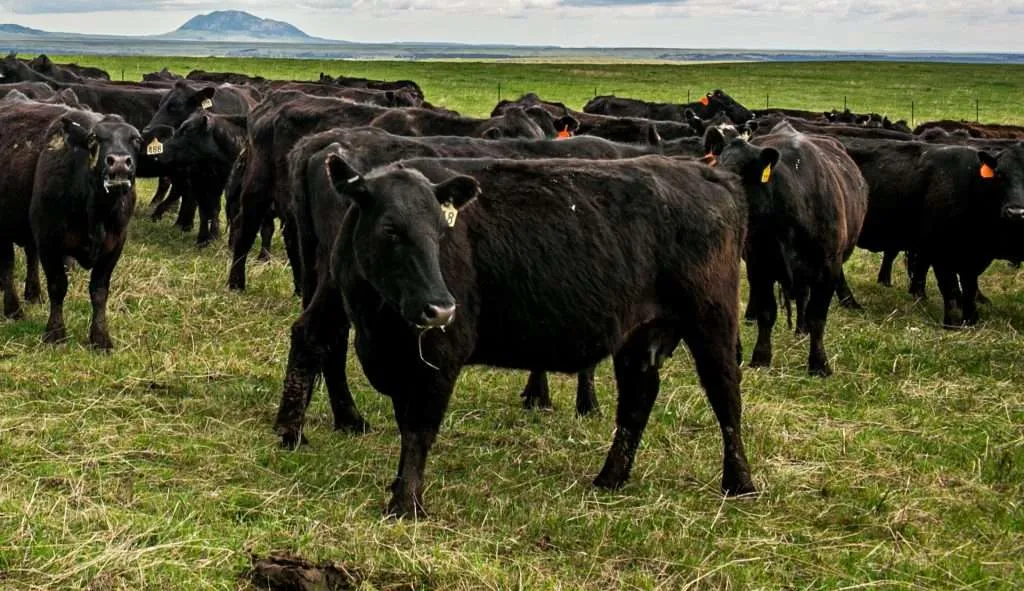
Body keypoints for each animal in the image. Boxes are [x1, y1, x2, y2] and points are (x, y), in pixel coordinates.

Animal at [278, 151, 754, 517]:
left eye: (442, 231)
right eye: (390, 229)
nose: (441, 307)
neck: (379, 317)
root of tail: (709, 175)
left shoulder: (441, 355)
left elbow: (418, 428)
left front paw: (406, 504)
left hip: (711, 322)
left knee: (725, 395)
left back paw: (739, 482)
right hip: (640, 335)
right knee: (638, 400)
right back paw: (610, 478)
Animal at [706, 122, 869, 376]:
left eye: (737, 179)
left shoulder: (828, 269)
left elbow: (817, 316)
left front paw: (819, 364)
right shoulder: (760, 266)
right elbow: (767, 312)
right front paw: (761, 358)